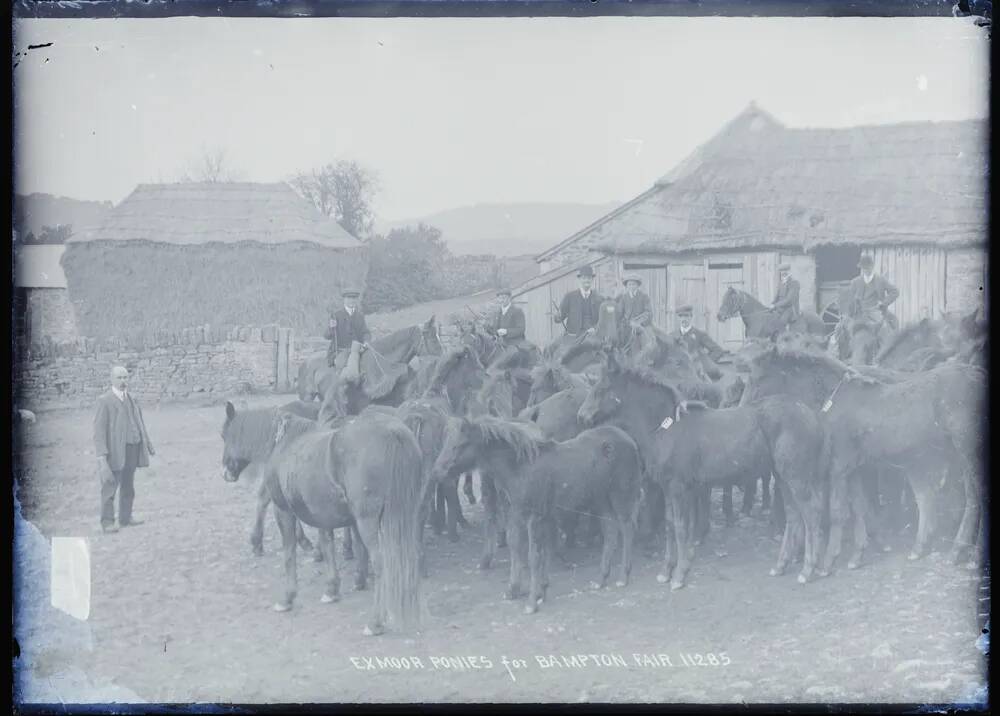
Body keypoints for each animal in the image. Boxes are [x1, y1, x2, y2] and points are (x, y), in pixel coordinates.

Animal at [221, 406, 424, 636]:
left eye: (224, 435)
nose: (226, 472)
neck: (284, 443)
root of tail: (393, 432)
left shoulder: (283, 510)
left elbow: (289, 553)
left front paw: (288, 597)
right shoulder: (323, 515)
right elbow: (328, 547)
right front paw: (332, 589)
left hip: (368, 521)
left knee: (380, 563)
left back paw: (375, 622)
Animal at [430, 414, 640, 608]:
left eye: (460, 444)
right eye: (446, 443)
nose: (437, 472)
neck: (520, 468)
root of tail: (628, 439)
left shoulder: (534, 517)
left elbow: (534, 556)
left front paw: (531, 602)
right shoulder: (519, 515)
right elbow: (521, 548)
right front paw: (528, 591)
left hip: (620, 496)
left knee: (627, 528)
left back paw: (623, 577)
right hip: (601, 500)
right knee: (611, 531)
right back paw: (601, 580)